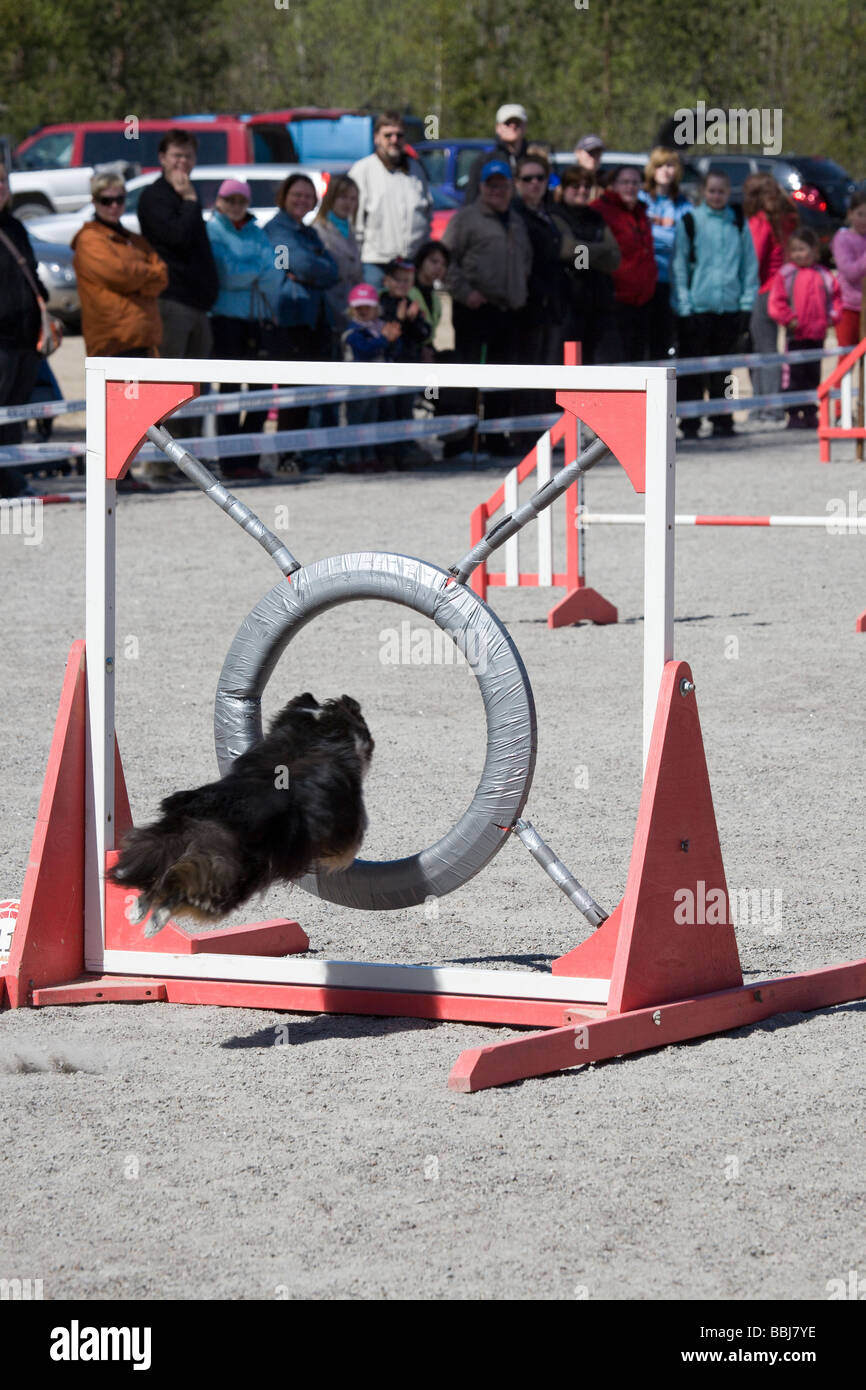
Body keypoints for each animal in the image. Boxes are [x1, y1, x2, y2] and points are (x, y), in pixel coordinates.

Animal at [109, 692, 375, 934]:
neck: (310, 738)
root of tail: (204, 814)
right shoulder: (346, 827)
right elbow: (345, 849)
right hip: (233, 877)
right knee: (182, 890)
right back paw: (155, 920)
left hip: (163, 844)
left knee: (158, 876)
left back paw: (138, 910)